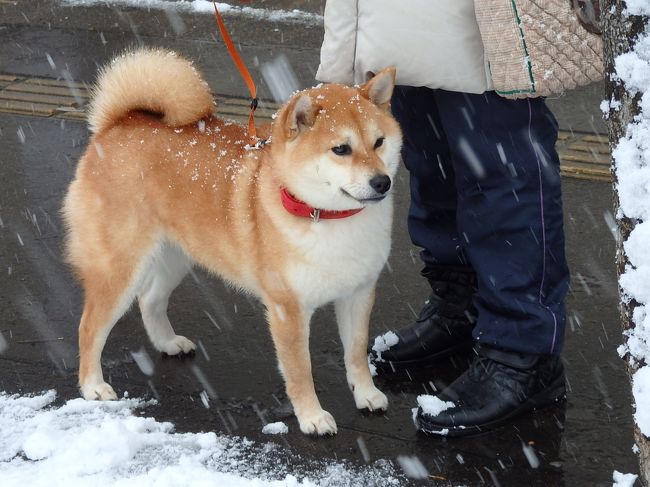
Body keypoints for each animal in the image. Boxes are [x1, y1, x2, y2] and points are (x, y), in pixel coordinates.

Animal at [64, 49, 400, 436]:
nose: (382, 182)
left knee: (150, 299)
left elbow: (357, 352)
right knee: (89, 327)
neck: (327, 218)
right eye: (341, 149)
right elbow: (300, 370)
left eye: (379, 142)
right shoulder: (287, 309)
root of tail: (117, 124)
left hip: (176, 256)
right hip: (120, 266)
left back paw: (168, 343)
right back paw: (92, 385)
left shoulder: (358, 292)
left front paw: (367, 395)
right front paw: (312, 416)